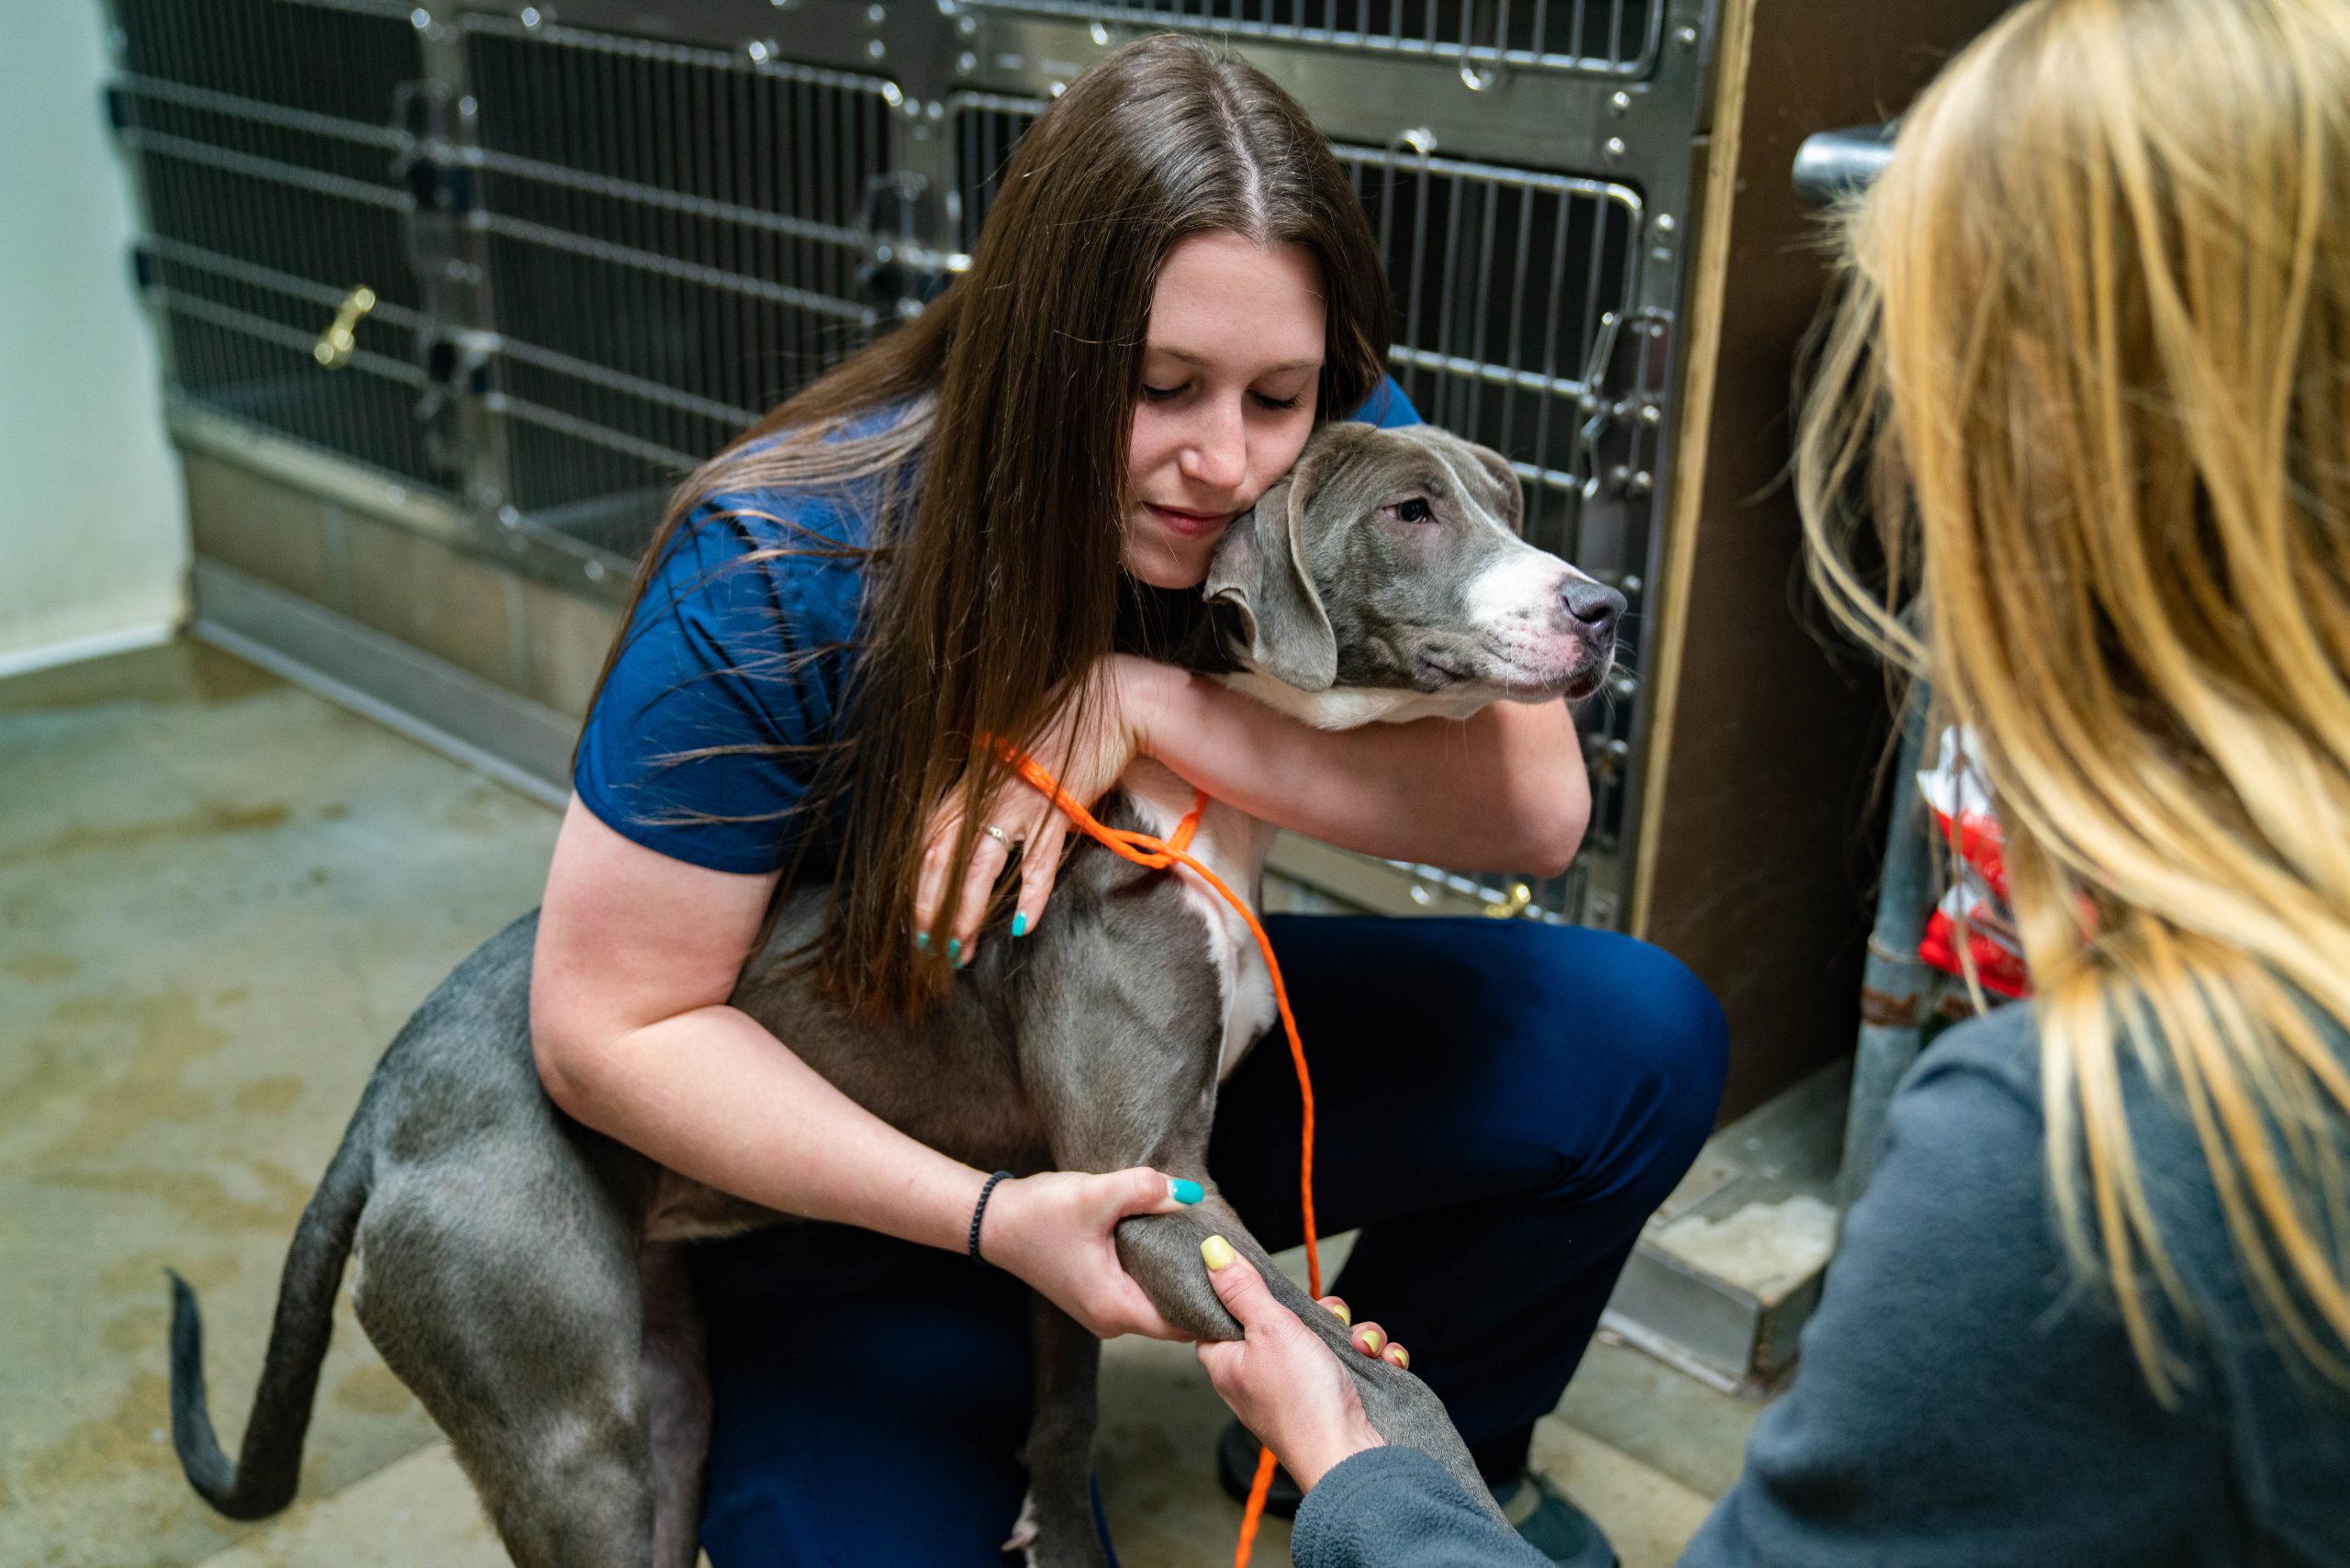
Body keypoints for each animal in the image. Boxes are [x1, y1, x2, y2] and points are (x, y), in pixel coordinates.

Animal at [165, 416, 1626, 1568]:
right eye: (1410, 510)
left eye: (1512, 499)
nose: (1604, 607)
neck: (1185, 802)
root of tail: (383, 1108)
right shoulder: (1153, 1185)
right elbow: (1377, 1378)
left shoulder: (1085, 1210)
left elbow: (1064, 1412)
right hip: (566, 1433)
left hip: (664, 1388)